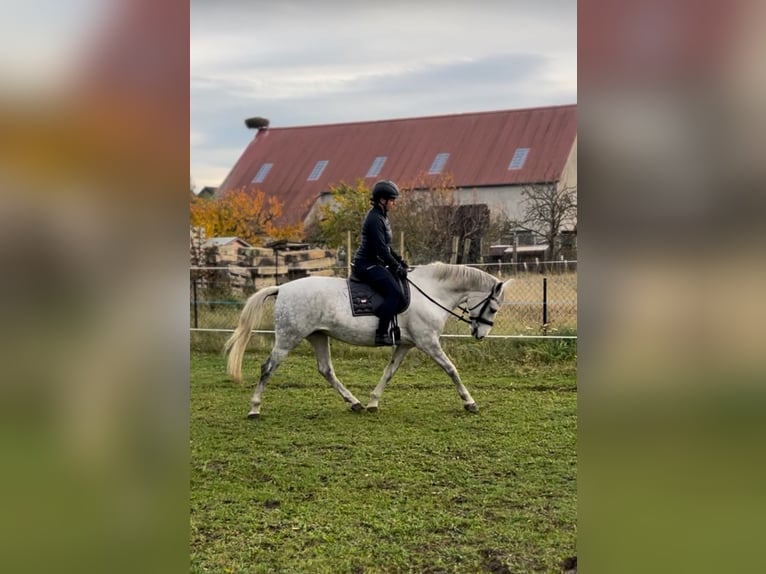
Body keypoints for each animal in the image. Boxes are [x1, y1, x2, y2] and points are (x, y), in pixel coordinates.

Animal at [224, 262, 511, 418]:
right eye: (494, 308)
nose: (480, 335)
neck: (431, 292)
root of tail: (282, 288)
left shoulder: (405, 344)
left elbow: (389, 372)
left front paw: (373, 402)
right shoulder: (428, 342)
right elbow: (451, 369)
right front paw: (469, 402)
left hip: (318, 336)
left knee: (326, 370)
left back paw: (355, 403)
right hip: (288, 338)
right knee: (267, 368)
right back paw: (254, 409)